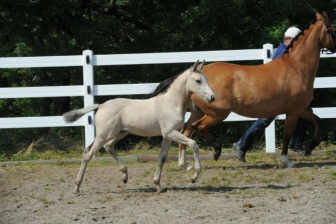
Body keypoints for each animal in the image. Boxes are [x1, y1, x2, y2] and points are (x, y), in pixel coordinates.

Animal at [63, 60, 215, 193]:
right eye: (198, 81)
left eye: (206, 79)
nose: (212, 97)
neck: (171, 104)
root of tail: (100, 106)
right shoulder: (171, 133)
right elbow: (193, 144)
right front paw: (193, 174)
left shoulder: (168, 136)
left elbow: (162, 157)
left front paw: (158, 186)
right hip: (104, 135)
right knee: (88, 155)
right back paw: (76, 188)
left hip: (119, 133)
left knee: (108, 147)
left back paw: (124, 175)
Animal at [178, 10, 336, 168]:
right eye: (334, 29)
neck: (296, 67)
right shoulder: (293, 111)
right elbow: (287, 135)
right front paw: (286, 160)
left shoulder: (301, 109)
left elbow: (318, 121)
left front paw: (309, 148)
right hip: (218, 113)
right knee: (198, 127)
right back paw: (216, 151)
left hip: (198, 112)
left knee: (186, 131)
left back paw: (183, 162)